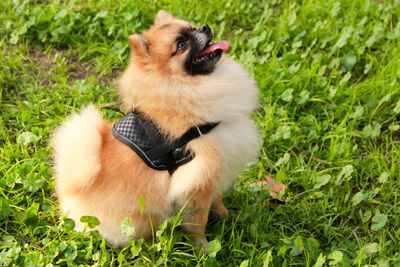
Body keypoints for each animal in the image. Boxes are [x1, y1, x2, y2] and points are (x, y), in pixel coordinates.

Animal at [51, 10, 260, 249]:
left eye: (192, 27)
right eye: (181, 44)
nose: (205, 27)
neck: (182, 88)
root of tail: (71, 192)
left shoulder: (220, 169)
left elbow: (217, 200)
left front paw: (225, 215)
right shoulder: (197, 180)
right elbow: (198, 222)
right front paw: (204, 247)